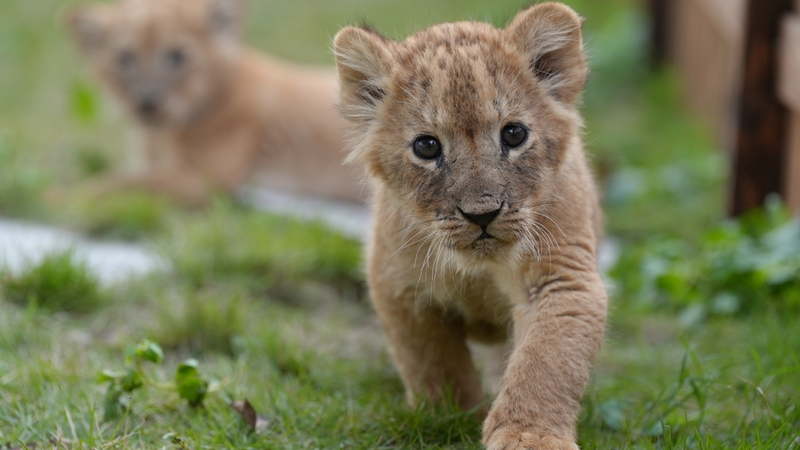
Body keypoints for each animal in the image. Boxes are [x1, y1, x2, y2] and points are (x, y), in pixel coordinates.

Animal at [67, 0, 365, 206]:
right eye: (124, 58)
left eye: (177, 56)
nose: (147, 101)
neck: (160, 135)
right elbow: (126, 176)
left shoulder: (210, 176)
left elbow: (124, 182)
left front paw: (64, 198)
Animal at [333, 3, 607, 449]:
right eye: (427, 146)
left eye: (513, 134)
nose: (482, 214)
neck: (479, 270)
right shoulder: (399, 285)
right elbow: (431, 363)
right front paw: (449, 416)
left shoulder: (562, 277)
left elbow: (545, 363)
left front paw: (528, 435)